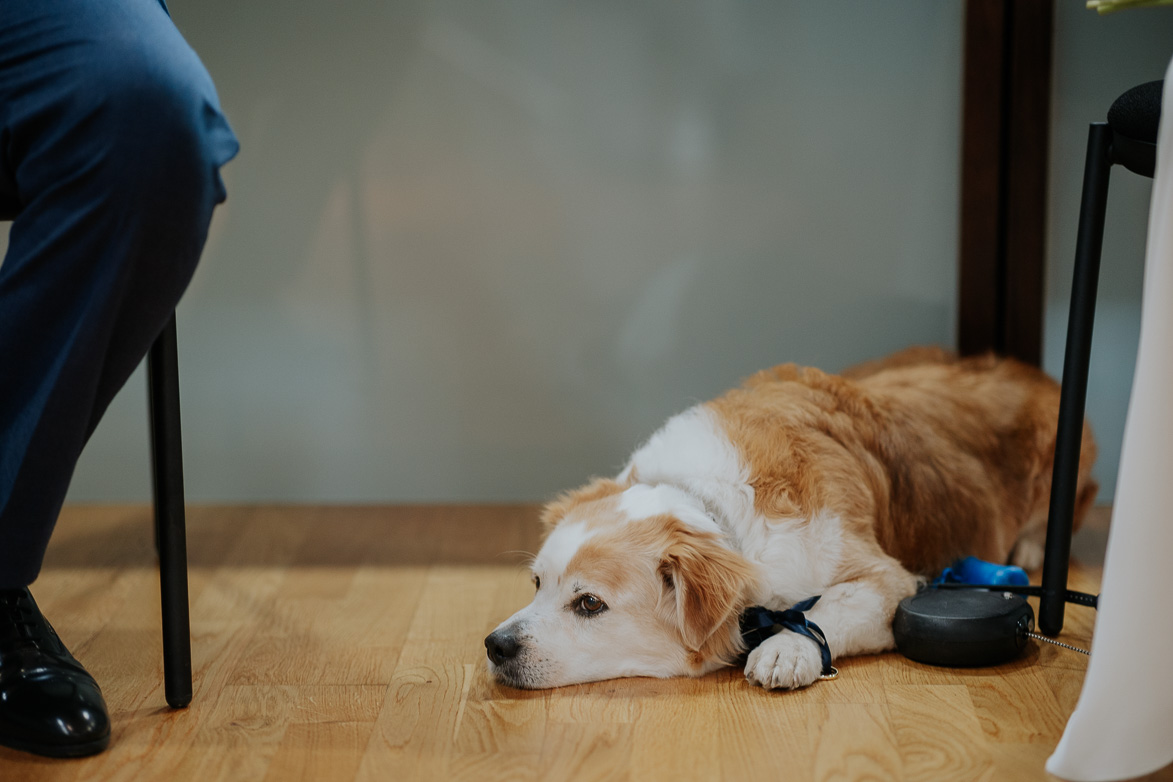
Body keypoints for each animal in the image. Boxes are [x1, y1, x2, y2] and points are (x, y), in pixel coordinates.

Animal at [480, 349, 1093, 689]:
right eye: (537, 583)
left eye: (590, 604)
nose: (495, 645)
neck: (710, 507)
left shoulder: (891, 582)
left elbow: (827, 609)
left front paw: (786, 649)